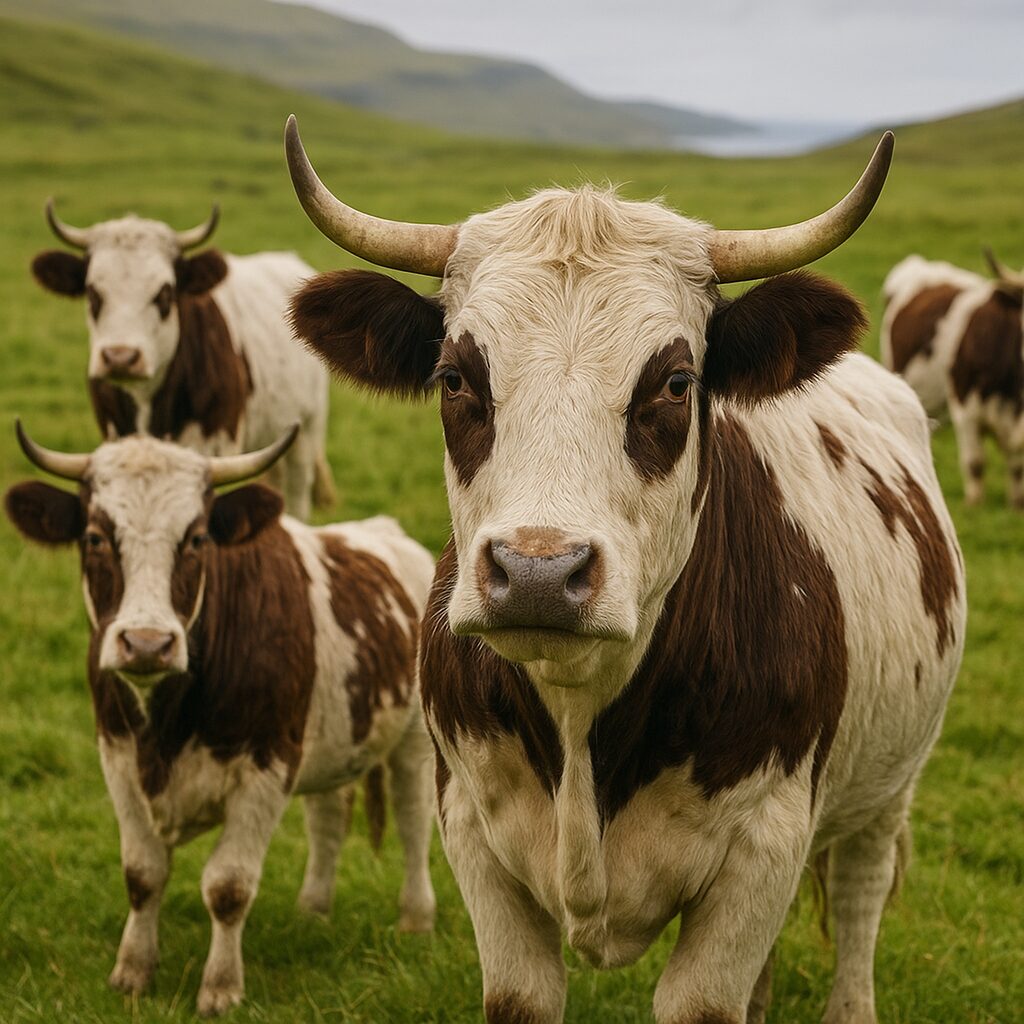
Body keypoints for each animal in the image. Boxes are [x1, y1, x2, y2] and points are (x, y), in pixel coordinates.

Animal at [4, 423, 436, 1017]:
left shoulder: (267, 766)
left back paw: (416, 918)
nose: (147, 643)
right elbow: (143, 874)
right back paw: (312, 910)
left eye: (196, 539)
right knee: (327, 820)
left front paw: (221, 986)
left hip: (414, 742)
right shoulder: (116, 757)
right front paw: (131, 971)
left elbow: (228, 887)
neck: (166, 723)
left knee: (413, 820)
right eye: (94, 537)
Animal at [30, 202, 334, 520]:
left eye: (164, 292)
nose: (120, 357)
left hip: (307, 432)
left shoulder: (218, 450)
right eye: (92, 292)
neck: (148, 401)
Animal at [281, 118, 965, 1024]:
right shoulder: (472, 835)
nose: (539, 572)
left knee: (859, 901)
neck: (582, 713)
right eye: (455, 378)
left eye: (675, 383)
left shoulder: (763, 848)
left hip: (887, 789)